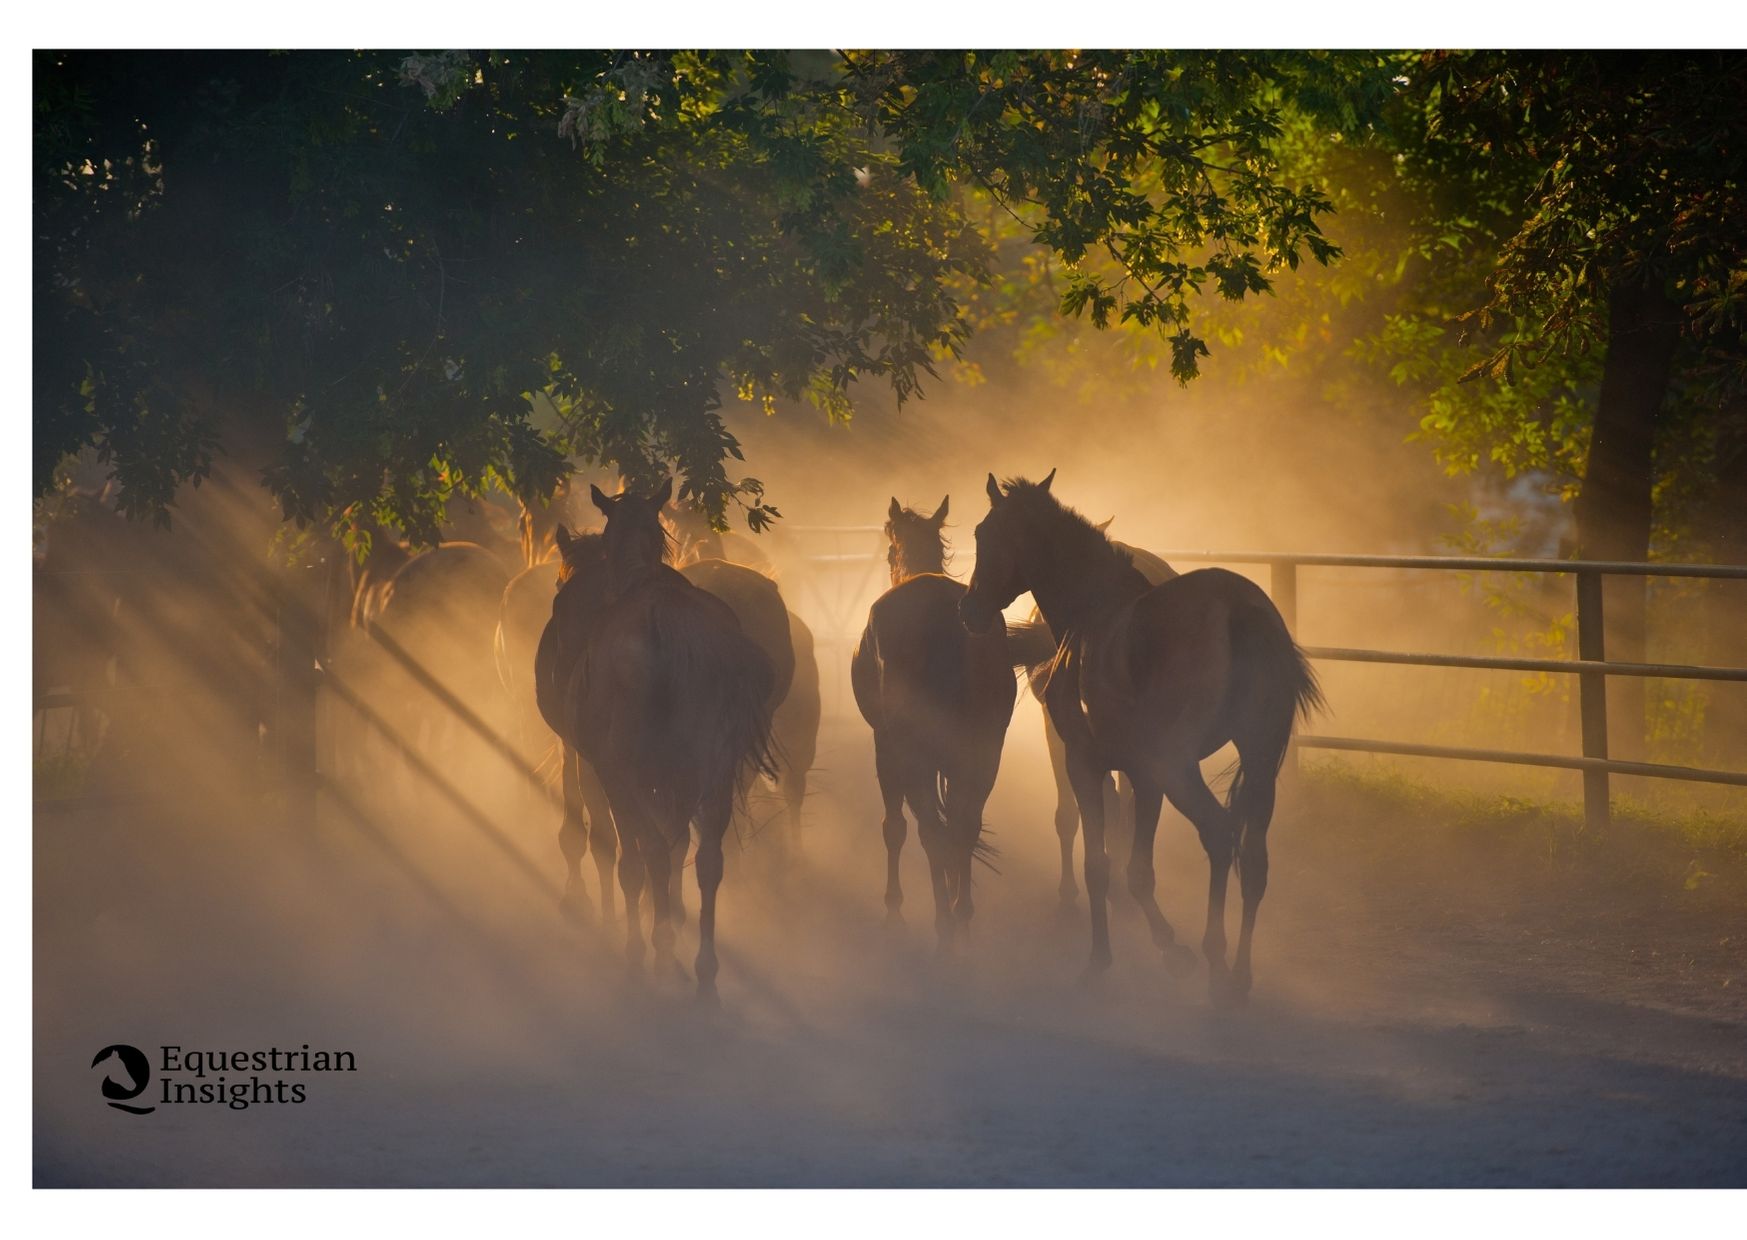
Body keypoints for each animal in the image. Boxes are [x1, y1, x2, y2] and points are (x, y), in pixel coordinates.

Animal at [562, 479, 776, 999]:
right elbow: (681, 851)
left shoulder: (618, 777)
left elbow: (637, 859)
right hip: (713, 774)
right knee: (708, 860)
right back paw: (704, 975)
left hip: (628, 776)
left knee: (650, 856)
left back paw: (648, 958)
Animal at [852, 496, 1017, 949]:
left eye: (890, 550)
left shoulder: (885, 746)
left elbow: (894, 826)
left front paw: (894, 908)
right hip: (985, 750)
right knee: (966, 825)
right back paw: (961, 915)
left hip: (915, 752)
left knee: (929, 828)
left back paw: (944, 921)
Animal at [959, 472, 1321, 1005]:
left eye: (985, 534)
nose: (969, 609)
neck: (1093, 615)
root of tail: (1238, 610)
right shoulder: (1142, 776)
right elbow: (1137, 870)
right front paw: (1169, 949)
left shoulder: (1087, 763)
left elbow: (1099, 864)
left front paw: (1103, 961)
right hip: (1255, 761)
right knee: (1254, 862)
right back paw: (1239, 975)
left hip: (1178, 768)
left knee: (1218, 833)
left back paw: (1216, 965)